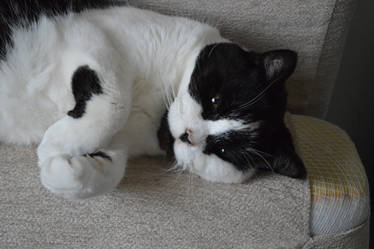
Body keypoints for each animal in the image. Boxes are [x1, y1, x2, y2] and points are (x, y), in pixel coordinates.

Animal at [0, 0, 306, 198]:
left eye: (221, 150)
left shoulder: (123, 143)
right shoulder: (90, 34)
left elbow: (111, 173)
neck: (152, 112)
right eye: (215, 101)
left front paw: (61, 168)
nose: (188, 135)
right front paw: (52, 146)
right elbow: (115, 105)